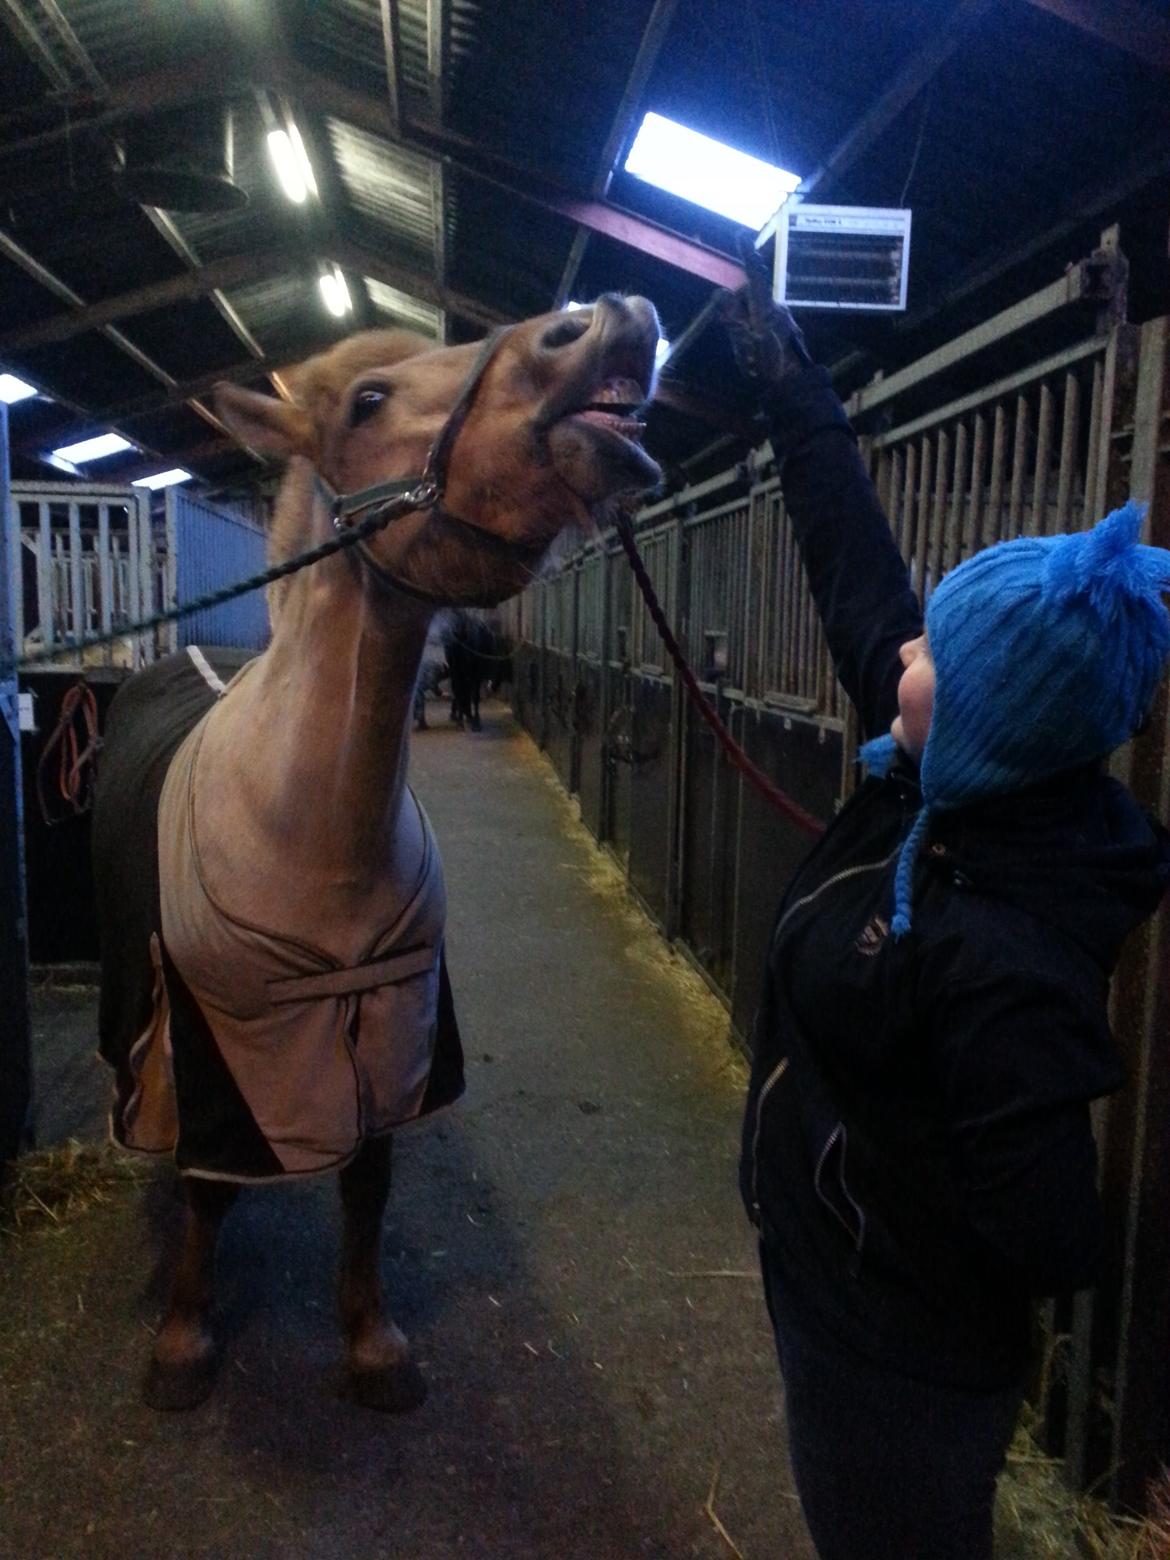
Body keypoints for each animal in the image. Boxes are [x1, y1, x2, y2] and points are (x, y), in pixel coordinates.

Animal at [93, 293, 661, 1416]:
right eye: (366, 400)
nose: (609, 320)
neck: (307, 836)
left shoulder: (397, 1035)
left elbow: (368, 1188)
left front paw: (371, 1344)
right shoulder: (216, 1046)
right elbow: (207, 1192)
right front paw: (183, 1342)